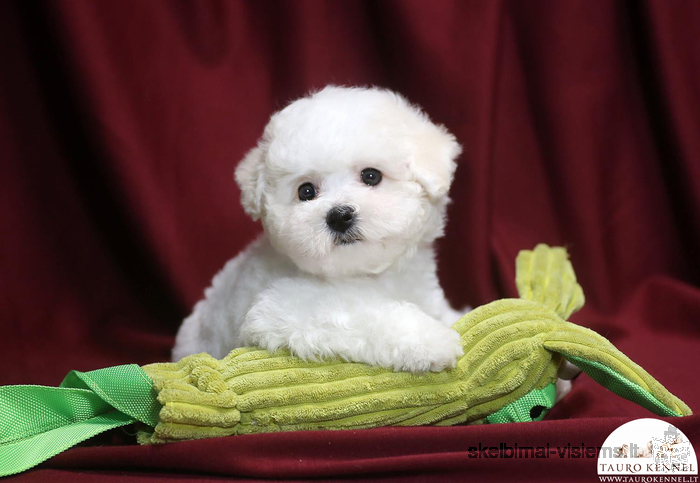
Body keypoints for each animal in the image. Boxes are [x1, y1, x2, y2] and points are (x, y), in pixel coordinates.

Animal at [171, 86, 464, 374]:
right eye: (306, 191)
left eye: (371, 176)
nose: (339, 216)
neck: (366, 275)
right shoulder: (285, 306)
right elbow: (365, 314)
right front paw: (429, 341)